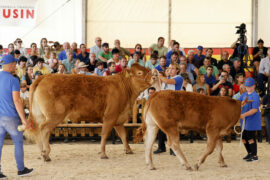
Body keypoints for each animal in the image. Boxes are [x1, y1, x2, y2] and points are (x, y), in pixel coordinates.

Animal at [25, 63, 156, 162]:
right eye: (139, 73)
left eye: (146, 69)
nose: (154, 76)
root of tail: (44, 77)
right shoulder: (110, 117)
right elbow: (104, 135)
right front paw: (103, 153)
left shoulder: (118, 119)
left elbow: (123, 135)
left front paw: (128, 150)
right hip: (55, 116)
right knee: (44, 129)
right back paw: (45, 153)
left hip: (41, 116)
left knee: (40, 131)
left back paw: (42, 154)